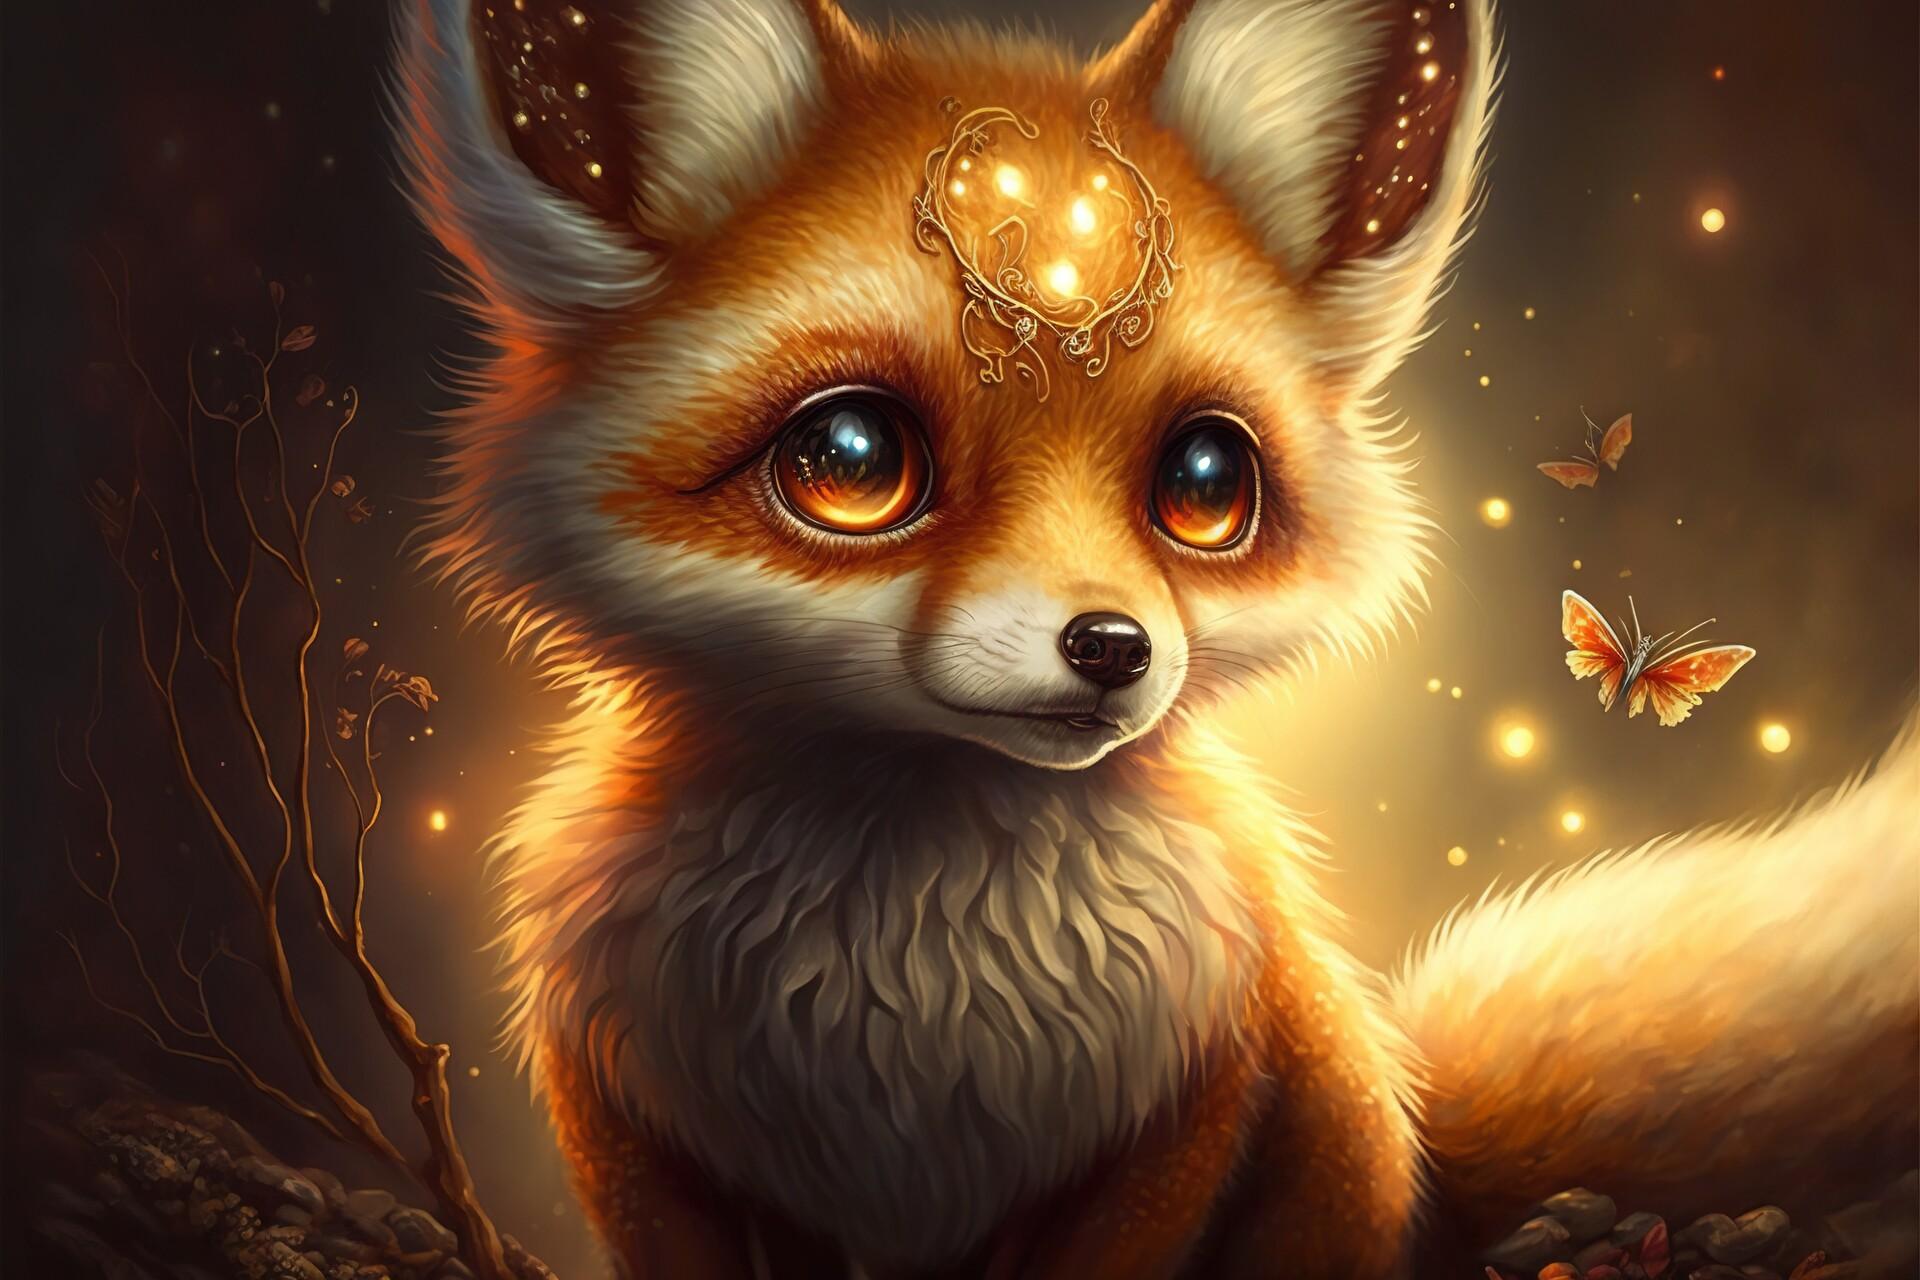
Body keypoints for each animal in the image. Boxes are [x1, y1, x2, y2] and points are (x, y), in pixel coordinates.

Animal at [390, 0, 1919, 1276]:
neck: (912, 985)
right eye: (849, 458)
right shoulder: (630, 1122)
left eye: (1204, 481)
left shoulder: (1196, 1100)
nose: (1112, 646)